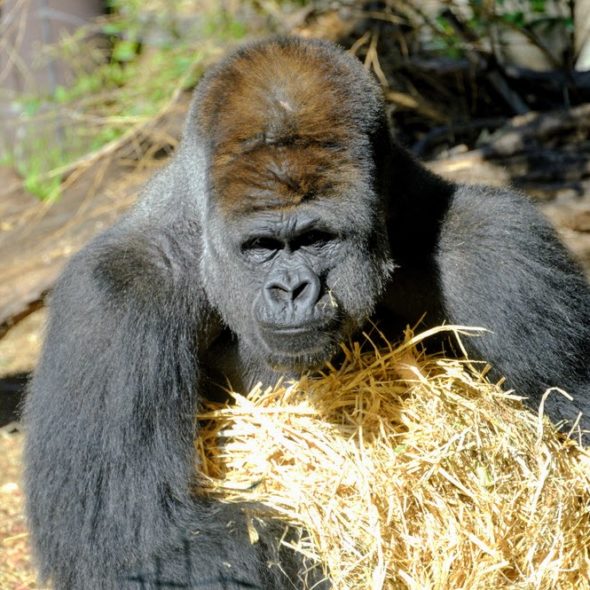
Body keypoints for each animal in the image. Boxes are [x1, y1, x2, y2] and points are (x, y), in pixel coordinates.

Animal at [23, 38, 590, 590]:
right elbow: (138, 543)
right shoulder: (112, 299)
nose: (292, 289)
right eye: (262, 246)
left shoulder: (499, 246)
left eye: (316, 238)